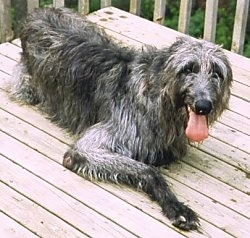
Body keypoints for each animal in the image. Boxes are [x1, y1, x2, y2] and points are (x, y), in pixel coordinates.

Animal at [12, 7, 232, 231]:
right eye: (188, 69)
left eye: (217, 73)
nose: (203, 106)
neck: (155, 96)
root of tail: (39, 11)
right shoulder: (88, 148)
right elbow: (148, 170)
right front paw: (177, 207)